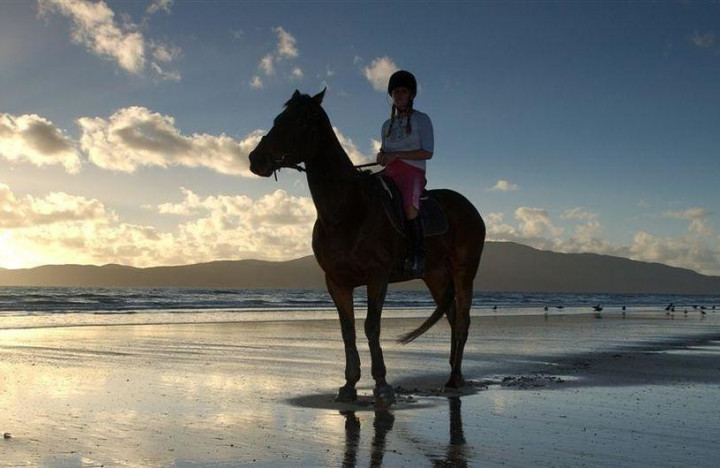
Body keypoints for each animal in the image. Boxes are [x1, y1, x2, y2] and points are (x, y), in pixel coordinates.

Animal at [248, 89, 484, 404]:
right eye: (278, 119)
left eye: (300, 122)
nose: (256, 159)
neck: (346, 209)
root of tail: (469, 208)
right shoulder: (336, 282)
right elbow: (347, 330)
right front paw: (349, 385)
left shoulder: (377, 276)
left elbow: (371, 326)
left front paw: (382, 384)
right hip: (435, 276)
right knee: (453, 318)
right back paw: (453, 374)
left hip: (463, 273)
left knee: (464, 321)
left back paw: (455, 378)